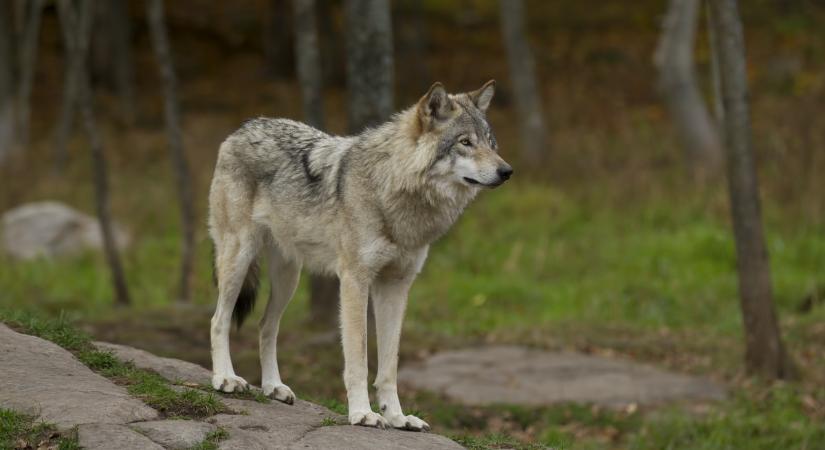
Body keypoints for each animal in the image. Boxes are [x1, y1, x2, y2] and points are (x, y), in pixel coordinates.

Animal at [208, 79, 508, 430]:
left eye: (490, 143)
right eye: (465, 143)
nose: (507, 170)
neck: (392, 190)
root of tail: (244, 126)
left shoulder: (396, 286)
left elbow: (389, 364)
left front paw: (398, 417)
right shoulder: (354, 280)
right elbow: (359, 357)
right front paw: (363, 413)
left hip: (288, 279)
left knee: (266, 325)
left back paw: (273, 387)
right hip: (238, 258)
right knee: (219, 319)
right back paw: (225, 378)